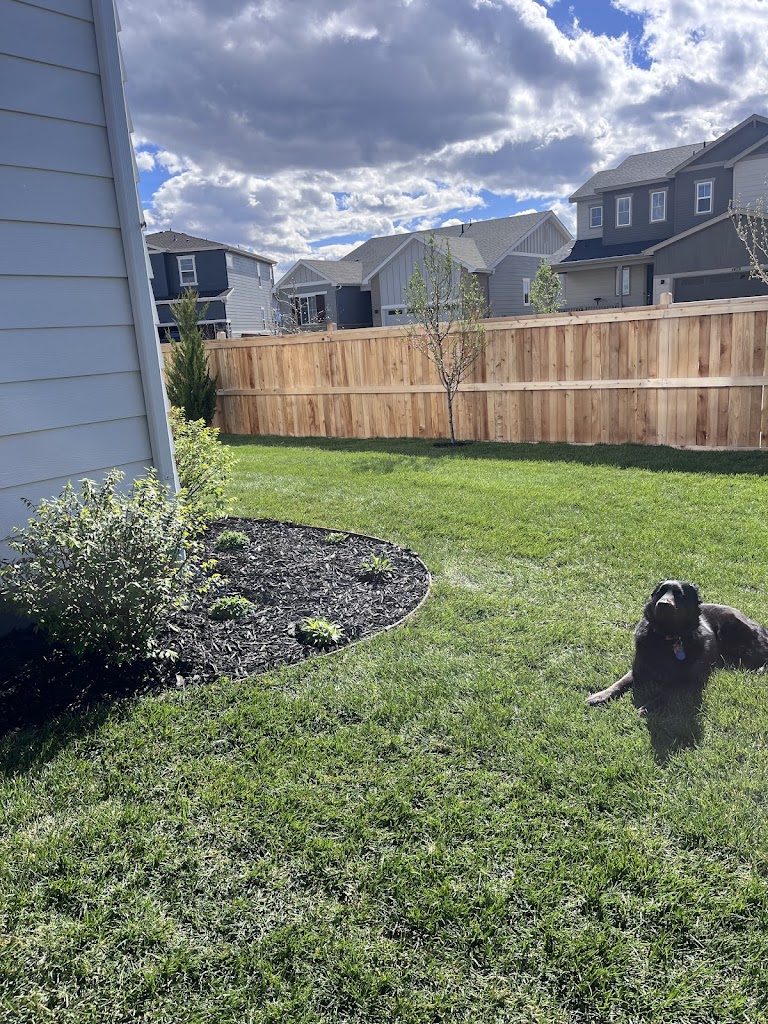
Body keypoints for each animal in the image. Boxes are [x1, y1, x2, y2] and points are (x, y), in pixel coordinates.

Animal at [586, 580, 768, 706]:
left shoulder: (686, 681)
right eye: (660, 592)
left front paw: (648, 707)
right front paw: (600, 695)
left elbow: (666, 692)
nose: (663, 604)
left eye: (680, 595)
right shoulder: (638, 669)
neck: (667, 638)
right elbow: (620, 682)